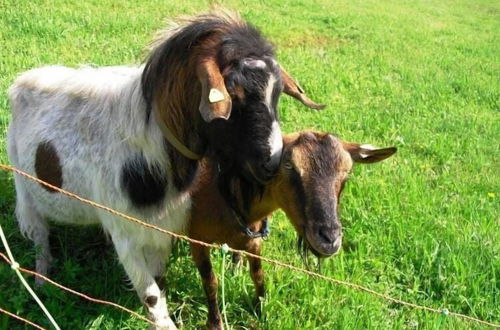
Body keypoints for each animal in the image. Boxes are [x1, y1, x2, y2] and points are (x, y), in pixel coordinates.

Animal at [5, 10, 322, 330]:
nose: (270, 162)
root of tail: (24, 79)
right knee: (39, 236)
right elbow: (151, 295)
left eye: (278, 93)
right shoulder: (124, 230)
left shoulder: (162, 226)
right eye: (233, 91)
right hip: (23, 186)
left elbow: (159, 280)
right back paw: (41, 279)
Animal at [189, 131, 396, 328]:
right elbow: (211, 282)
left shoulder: (254, 239)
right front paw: (215, 323)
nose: (329, 239)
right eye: (289, 166)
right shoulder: (197, 239)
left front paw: (260, 309)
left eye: (348, 172)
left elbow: (258, 275)